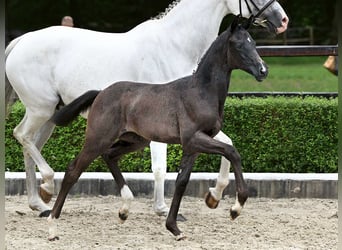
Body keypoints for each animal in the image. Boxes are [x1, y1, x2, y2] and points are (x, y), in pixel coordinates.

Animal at [6, 0, 288, 217]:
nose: (283, 20)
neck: (175, 45)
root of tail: (21, 41)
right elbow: (160, 167)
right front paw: (163, 209)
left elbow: (227, 145)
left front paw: (214, 196)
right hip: (40, 110)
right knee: (22, 136)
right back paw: (48, 186)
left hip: (51, 115)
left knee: (31, 145)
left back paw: (39, 201)